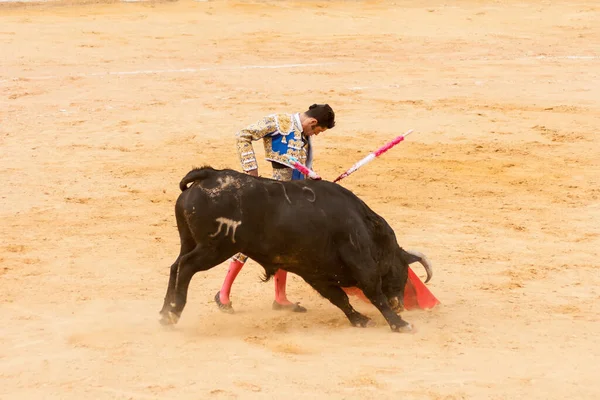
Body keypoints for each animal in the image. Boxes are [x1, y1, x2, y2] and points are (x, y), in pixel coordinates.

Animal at [159, 166, 432, 332]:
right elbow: (373, 292)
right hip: (215, 248)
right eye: (402, 271)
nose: (399, 305)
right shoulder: (360, 260)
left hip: (189, 241)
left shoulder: (314, 272)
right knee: (185, 267)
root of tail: (208, 175)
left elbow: (340, 299)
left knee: (174, 266)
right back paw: (174, 312)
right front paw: (399, 323)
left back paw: (164, 313)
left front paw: (359, 319)